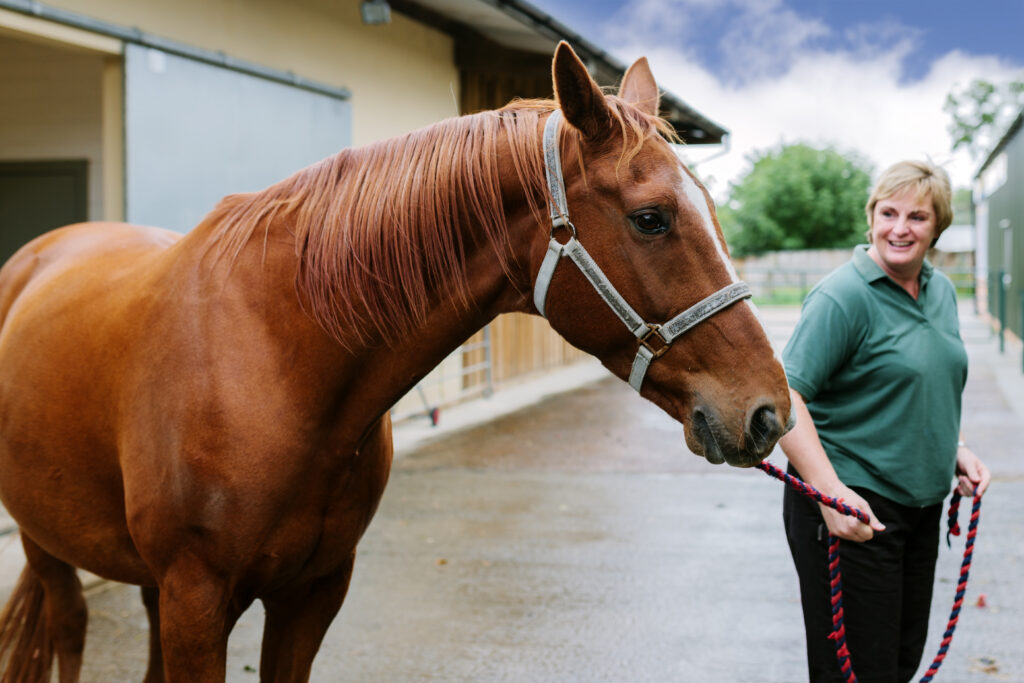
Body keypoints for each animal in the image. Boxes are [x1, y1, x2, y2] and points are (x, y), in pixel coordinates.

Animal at [0, 42, 791, 682]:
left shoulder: (311, 593)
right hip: (47, 543)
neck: (275, 362)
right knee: (69, 627)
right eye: (651, 218)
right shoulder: (197, 599)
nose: (769, 411)